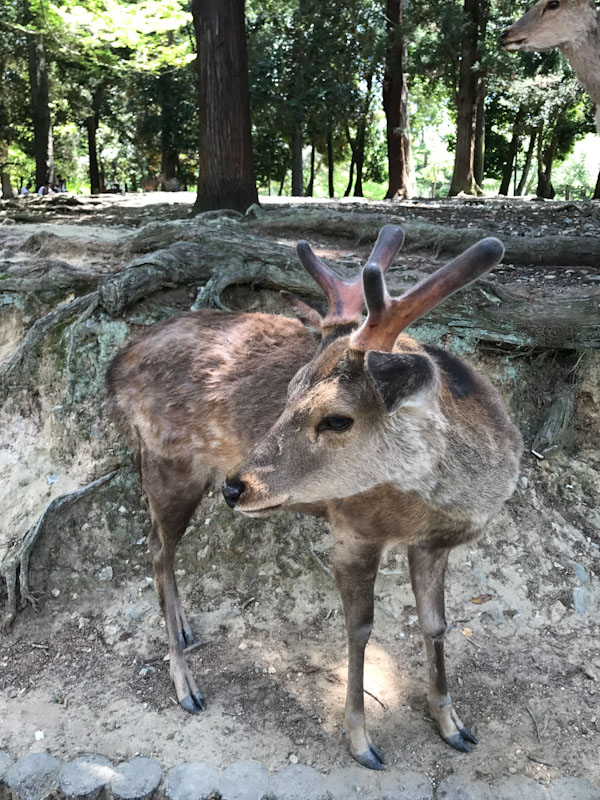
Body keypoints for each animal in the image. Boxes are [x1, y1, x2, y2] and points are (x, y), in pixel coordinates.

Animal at [106, 225, 522, 770]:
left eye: (337, 418)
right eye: (288, 392)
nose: (236, 487)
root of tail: (115, 367)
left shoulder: (433, 544)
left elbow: (436, 624)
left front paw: (453, 726)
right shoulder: (353, 527)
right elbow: (360, 628)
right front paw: (362, 742)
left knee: (158, 546)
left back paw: (186, 629)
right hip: (167, 463)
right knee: (158, 549)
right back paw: (185, 686)